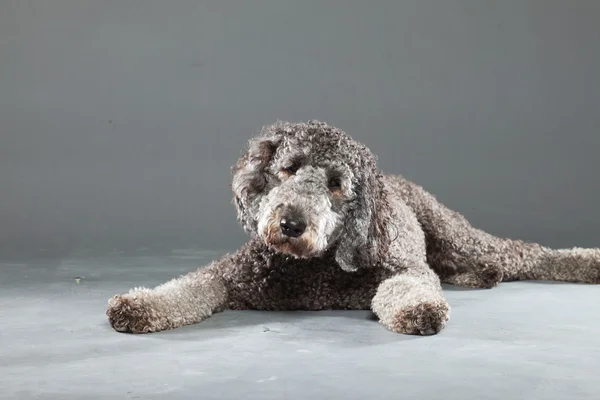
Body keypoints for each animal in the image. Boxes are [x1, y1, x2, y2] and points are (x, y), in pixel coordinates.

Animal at [108, 120, 600, 336]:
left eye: (335, 184)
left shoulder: (403, 269)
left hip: (456, 235)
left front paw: (418, 309)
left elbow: (408, 287)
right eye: (288, 167)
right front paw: (138, 304)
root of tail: (398, 181)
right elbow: (186, 287)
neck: (309, 266)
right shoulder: (227, 275)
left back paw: (586, 262)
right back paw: (474, 278)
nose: (290, 223)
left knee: (523, 253)